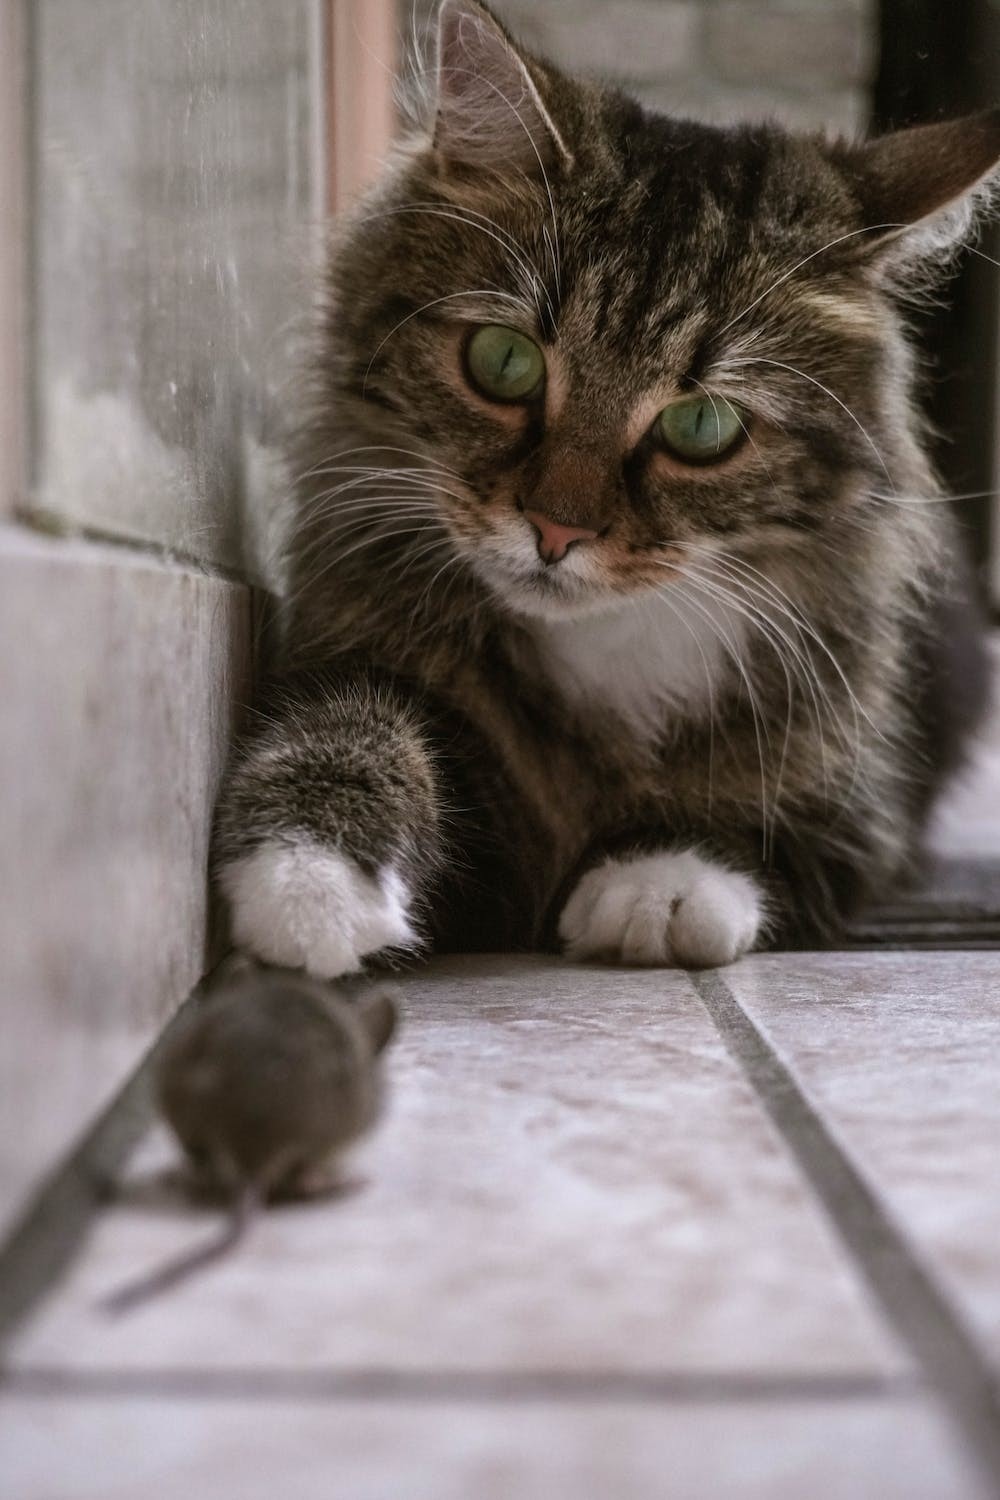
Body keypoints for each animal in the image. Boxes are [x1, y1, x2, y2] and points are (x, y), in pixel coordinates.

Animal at [215, 0, 995, 972]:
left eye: (702, 427)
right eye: (504, 361)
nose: (555, 531)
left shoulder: (856, 788)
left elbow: (750, 812)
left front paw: (659, 884)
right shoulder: (358, 648)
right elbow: (349, 723)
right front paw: (309, 884)